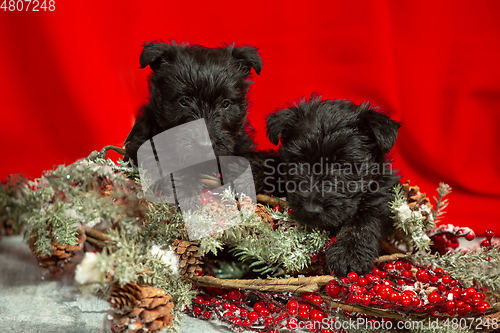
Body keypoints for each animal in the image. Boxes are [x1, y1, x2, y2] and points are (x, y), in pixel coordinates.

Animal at [268, 95, 400, 274]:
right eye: (299, 162)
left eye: (342, 165)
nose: (311, 210)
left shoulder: (380, 197)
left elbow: (364, 221)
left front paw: (349, 253)